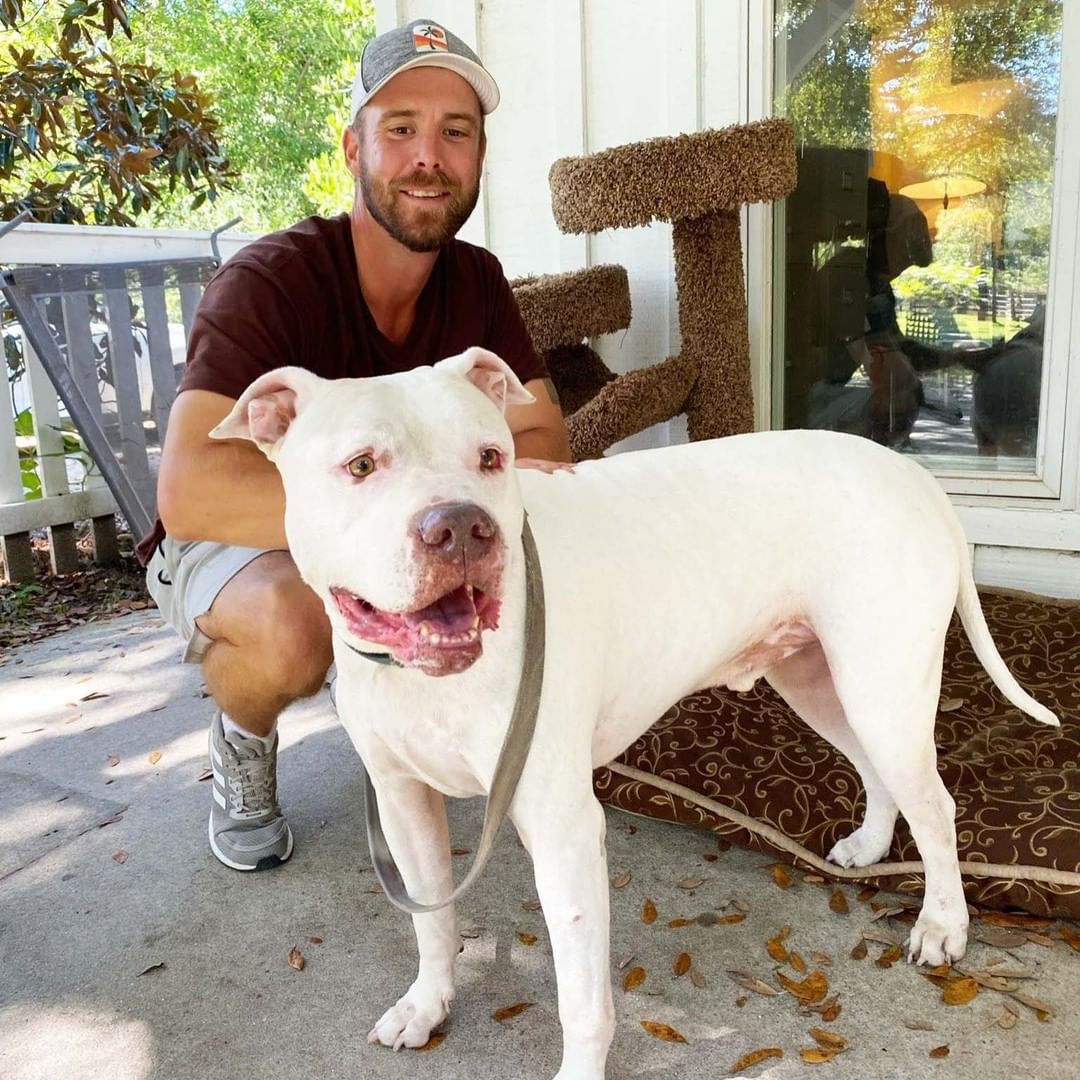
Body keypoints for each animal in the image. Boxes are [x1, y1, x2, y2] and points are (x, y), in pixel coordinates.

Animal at [214, 345, 1058, 1080]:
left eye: (491, 458)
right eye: (361, 466)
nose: (459, 527)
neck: (434, 676)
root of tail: (913, 474)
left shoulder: (562, 832)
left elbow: (581, 997)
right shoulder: (403, 803)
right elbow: (431, 922)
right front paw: (428, 1005)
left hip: (881, 681)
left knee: (937, 805)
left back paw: (943, 925)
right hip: (823, 679)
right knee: (878, 770)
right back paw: (870, 845)